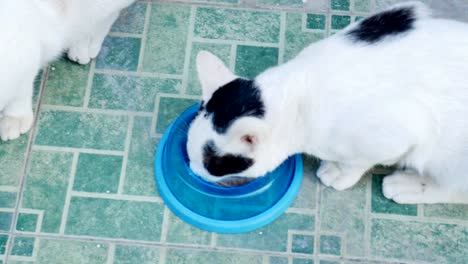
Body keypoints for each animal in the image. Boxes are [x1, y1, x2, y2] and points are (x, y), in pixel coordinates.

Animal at [186, 1, 468, 204]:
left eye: (212, 166)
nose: (193, 170)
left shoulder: (397, 134)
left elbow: (358, 161)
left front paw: (339, 172)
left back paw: (408, 186)